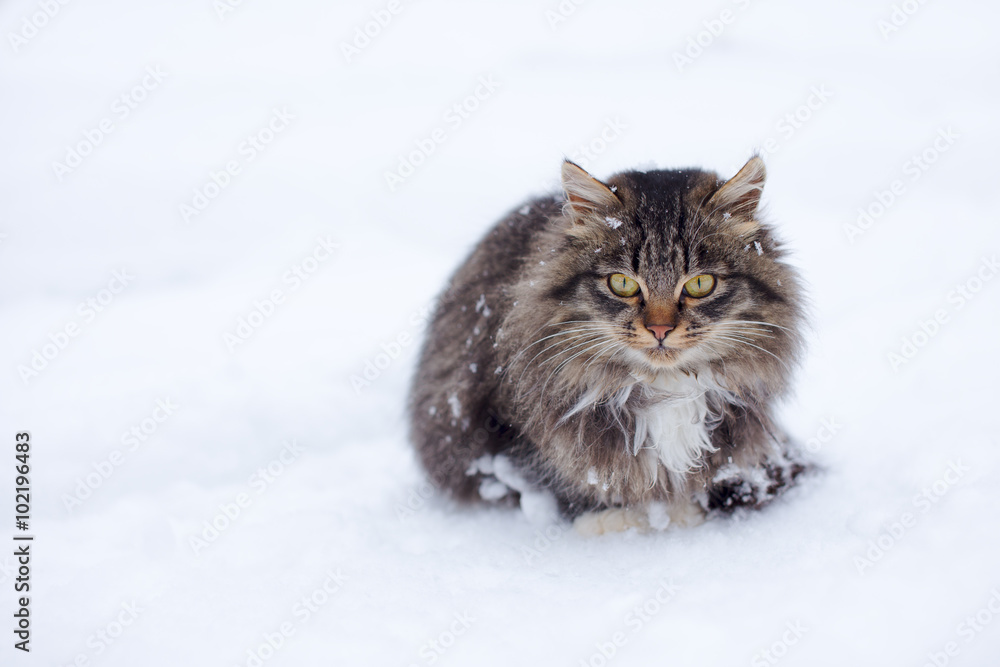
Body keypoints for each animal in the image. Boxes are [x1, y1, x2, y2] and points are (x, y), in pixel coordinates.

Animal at [410, 157, 808, 536]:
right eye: (622, 283)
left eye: (700, 284)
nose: (660, 329)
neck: (667, 389)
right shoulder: (502, 431)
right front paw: (614, 518)